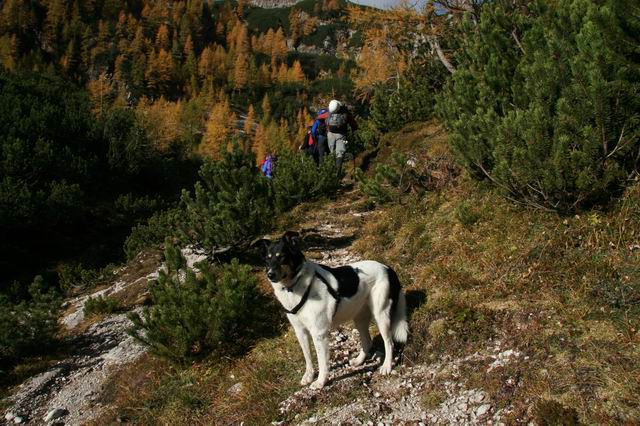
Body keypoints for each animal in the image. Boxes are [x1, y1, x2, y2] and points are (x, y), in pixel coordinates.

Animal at [252, 231, 408, 388]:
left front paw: (320, 382)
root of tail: (388, 269)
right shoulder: (300, 331)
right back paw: (359, 361)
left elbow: (322, 362)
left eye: (282, 257)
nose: (270, 275)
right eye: (267, 259)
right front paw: (309, 376)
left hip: (381, 315)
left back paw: (387, 366)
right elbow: (308, 358)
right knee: (367, 341)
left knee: (389, 342)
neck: (295, 286)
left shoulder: (319, 334)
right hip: (360, 317)